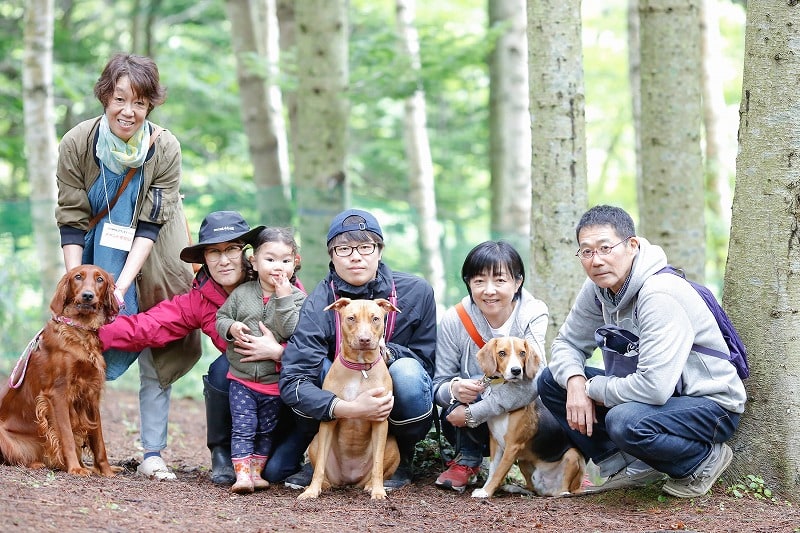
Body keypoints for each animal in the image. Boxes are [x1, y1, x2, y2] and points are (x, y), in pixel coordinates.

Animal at [0, 264, 119, 476]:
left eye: (100, 279)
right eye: (78, 277)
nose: (87, 295)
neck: (80, 331)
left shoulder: (91, 393)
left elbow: (99, 440)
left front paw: (106, 471)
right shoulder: (58, 394)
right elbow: (67, 435)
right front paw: (75, 468)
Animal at [472, 336, 584, 498]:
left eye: (522, 353)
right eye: (502, 353)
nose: (516, 370)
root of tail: (548, 489)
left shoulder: (512, 446)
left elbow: (499, 472)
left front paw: (486, 492)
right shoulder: (495, 442)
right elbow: (493, 470)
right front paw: (485, 489)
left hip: (572, 456)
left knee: (564, 489)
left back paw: (562, 493)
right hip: (524, 460)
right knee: (533, 489)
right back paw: (516, 488)